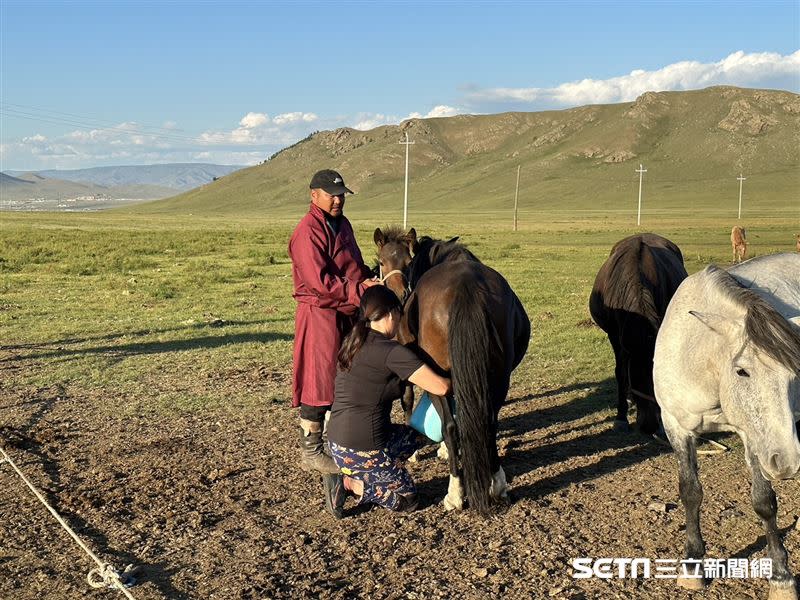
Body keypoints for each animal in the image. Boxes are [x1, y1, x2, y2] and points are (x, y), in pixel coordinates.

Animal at [376, 227, 532, 512]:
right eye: (382, 262)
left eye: (407, 262)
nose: (399, 297)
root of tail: (466, 287)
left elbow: (409, 401)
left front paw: (421, 451)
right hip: (498, 378)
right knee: (488, 422)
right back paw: (497, 484)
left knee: (450, 427)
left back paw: (455, 492)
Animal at [656, 254, 800, 600]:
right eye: (742, 371)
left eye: (795, 375)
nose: (787, 463)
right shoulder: (675, 427)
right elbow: (690, 492)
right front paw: (692, 565)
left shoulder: (754, 437)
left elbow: (764, 501)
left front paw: (781, 576)